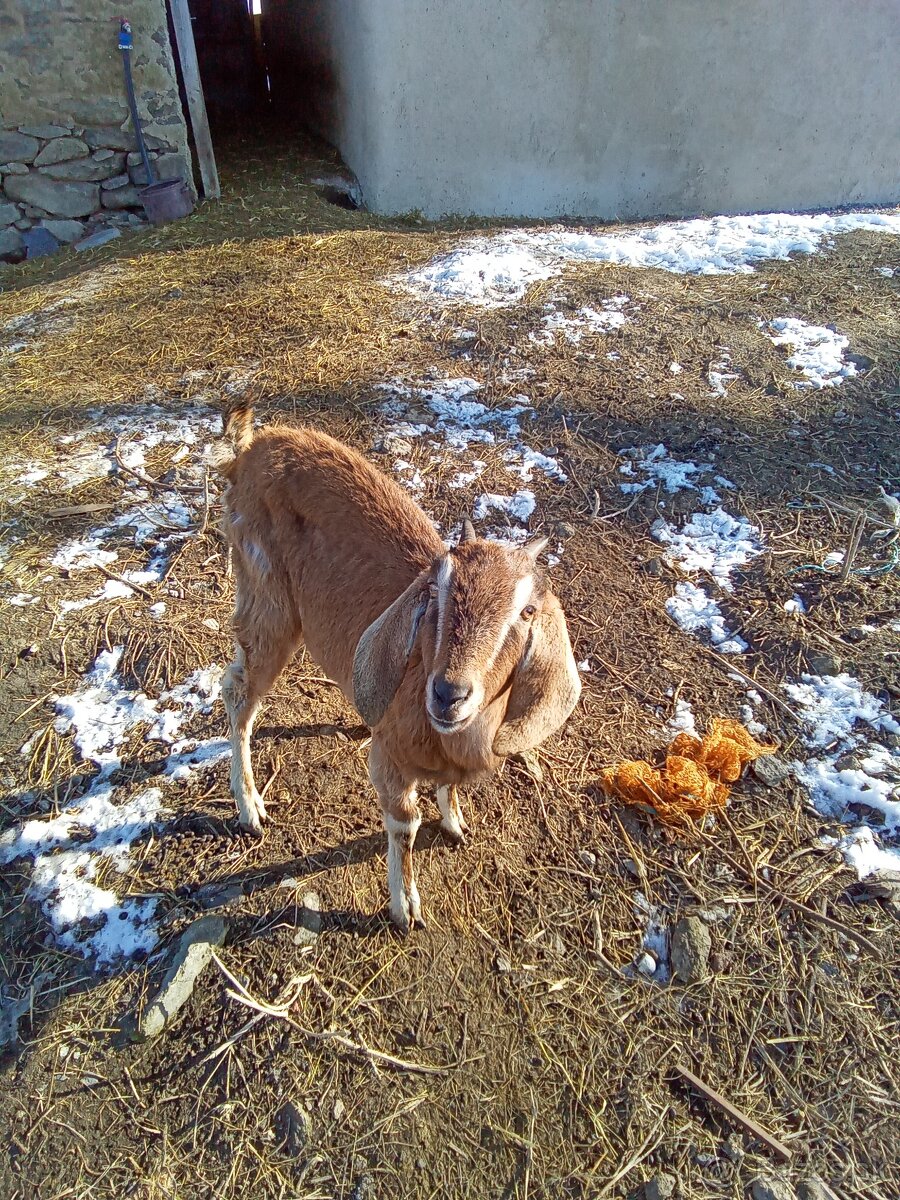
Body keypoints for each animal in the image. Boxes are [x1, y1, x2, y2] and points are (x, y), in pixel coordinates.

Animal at [222, 408, 580, 931]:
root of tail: (249, 448)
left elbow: (447, 789)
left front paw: (455, 822)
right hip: (267, 602)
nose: (448, 693)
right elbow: (404, 826)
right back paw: (250, 806)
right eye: (435, 591)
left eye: (527, 612)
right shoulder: (389, 761)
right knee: (239, 692)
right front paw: (405, 907)